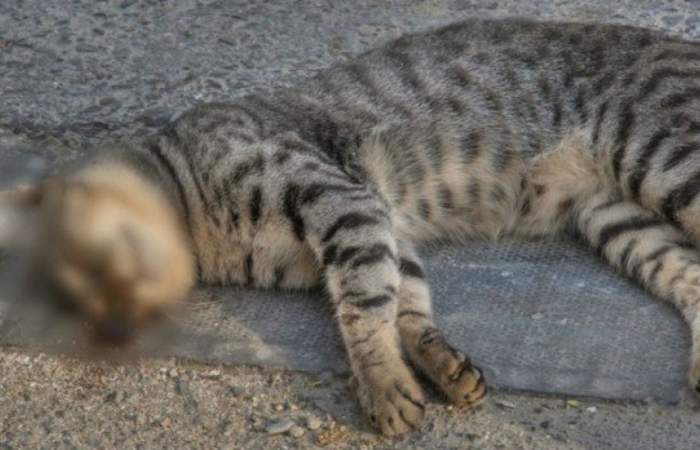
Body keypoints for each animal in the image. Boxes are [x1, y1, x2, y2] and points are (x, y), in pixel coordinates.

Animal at [3, 17, 700, 435]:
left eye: (102, 264)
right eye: (86, 304)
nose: (119, 328)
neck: (205, 230)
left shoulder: (338, 199)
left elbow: (364, 309)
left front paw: (382, 385)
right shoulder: (379, 223)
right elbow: (403, 303)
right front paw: (432, 363)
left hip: (662, 156)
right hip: (621, 220)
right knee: (690, 276)